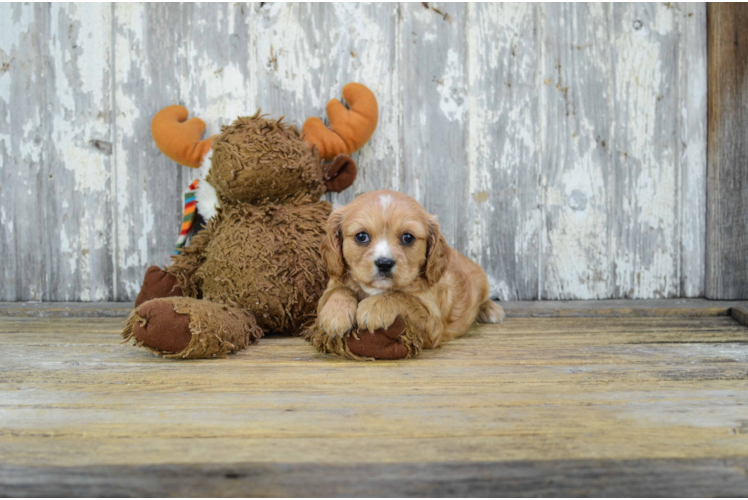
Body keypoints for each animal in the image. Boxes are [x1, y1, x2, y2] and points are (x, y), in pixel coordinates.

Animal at [318, 188, 506, 352]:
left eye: (408, 237)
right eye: (361, 236)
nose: (384, 263)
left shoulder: (432, 324)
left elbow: (403, 297)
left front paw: (374, 307)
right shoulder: (324, 297)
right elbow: (340, 290)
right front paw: (335, 315)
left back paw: (491, 310)